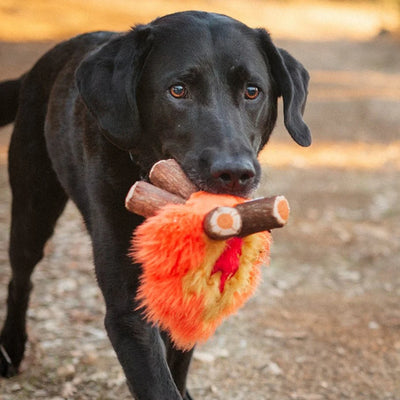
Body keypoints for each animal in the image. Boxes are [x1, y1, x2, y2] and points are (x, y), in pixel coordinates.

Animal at [0, 11, 310, 400]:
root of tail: (36, 68)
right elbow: (157, 381)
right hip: (33, 206)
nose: (236, 173)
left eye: (252, 91)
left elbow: (177, 356)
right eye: (178, 90)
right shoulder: (127, 311)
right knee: (20, 279)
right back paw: (10, 349)